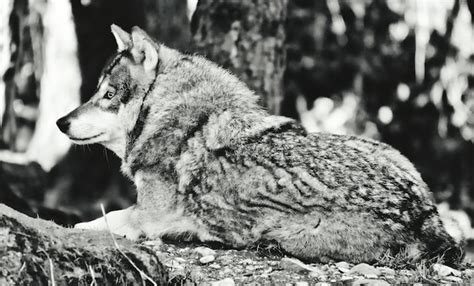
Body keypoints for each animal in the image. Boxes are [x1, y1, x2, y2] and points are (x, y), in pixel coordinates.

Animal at [56, 24, 462, 266]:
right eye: (96, 91)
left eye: (108, 95)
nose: (61, 122)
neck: (170, 115)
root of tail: (424, 213)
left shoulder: (149, 215)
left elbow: (105, 217)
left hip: (292, 233)